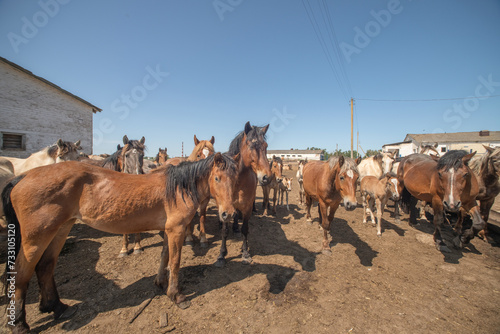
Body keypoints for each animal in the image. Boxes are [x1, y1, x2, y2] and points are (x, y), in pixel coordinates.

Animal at [1, 153, 237, 332]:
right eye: (217, 178)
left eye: (235, 179)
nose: (229, 214)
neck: (178, 188)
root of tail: (22, 177)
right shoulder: (176, 231)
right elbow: (175, 262)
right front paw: (176, 295)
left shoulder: (168, 231)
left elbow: (164, 258)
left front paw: (160, 283)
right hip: (36, 237)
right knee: (21, 274)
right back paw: (19, 324)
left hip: (61, 229)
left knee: (45, 267)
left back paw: (58, 307)